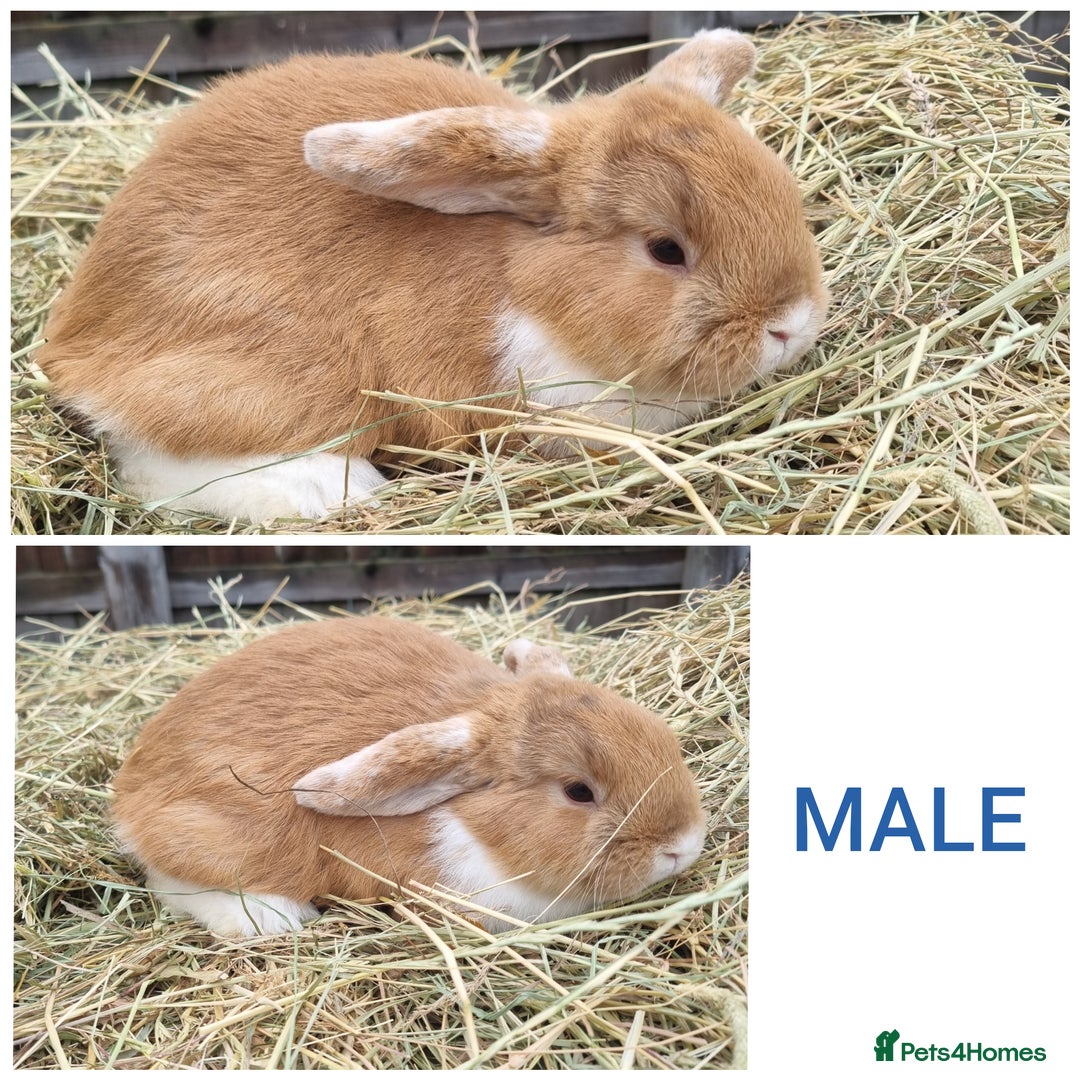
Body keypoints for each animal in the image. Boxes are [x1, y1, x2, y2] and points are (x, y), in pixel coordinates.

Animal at [37, 29, 829, 522]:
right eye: (666, 250)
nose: (791, 327)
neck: (523, 285)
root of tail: (76, 340)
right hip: (287, 382)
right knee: (158, 463)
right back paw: (340, 491)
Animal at [110, 616, 707, 937]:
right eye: (578, 792)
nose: (682, 847)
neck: (473, 827)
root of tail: (130, 787)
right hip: (211, 842)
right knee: (172, 884)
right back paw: (275, 918)